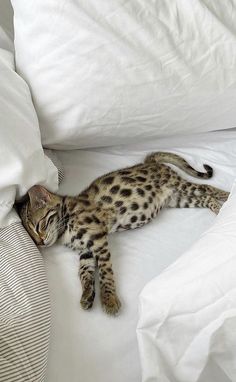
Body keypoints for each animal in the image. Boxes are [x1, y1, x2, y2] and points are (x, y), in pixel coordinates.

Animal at [18, 152, 229, 316]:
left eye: (38, 225)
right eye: (32, 237)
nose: (40, 242)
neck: (66, 220)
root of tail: (149, 162)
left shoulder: (98, 240)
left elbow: (105, 272)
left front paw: (109, 299)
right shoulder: (85, 250)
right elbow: (84, 272)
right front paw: (87, 294)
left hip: (180, 186)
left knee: (207, 188)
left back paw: (227, 197)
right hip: (177, 199)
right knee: (205, 198)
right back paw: (220, 209)